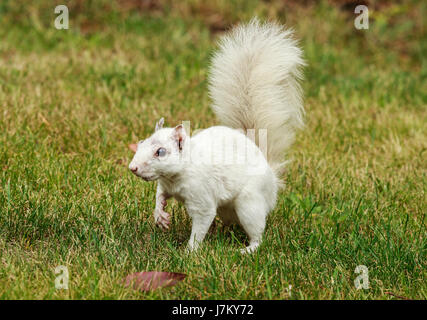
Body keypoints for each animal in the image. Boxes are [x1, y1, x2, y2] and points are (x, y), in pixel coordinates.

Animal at [128, 18, 304, 254]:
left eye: (160, 152)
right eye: (141, 143)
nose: (133, 168)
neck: (176, 177)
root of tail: (272, 179)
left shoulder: (201, 197)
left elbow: (202, 219)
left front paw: (190, 251)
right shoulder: (165, 185)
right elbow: (159, 196)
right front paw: (160, 216)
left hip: (249, 203)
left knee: (256, 231)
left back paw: (247, 249)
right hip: (229, 209)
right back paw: (220, 233)